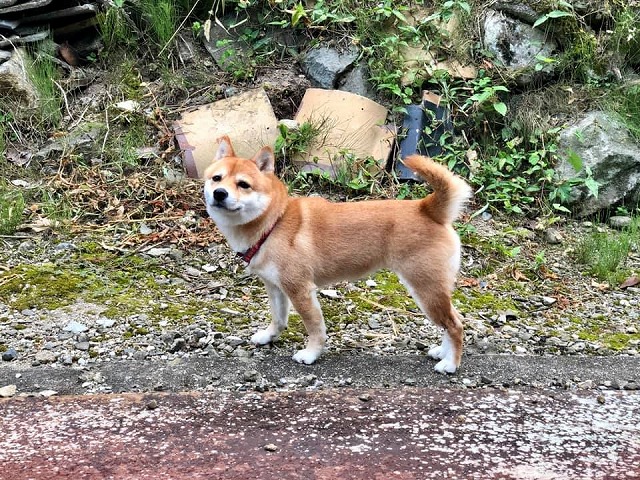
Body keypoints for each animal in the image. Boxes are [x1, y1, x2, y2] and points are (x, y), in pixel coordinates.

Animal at [203, 136, 472, 373]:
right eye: (217, 178)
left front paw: (311, 354)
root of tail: (427, 208)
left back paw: (451, 364)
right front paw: (269, 337)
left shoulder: (300, 290)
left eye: (243, 184)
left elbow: (315, 328)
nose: (219, 193)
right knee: (453, 320)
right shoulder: (275, 287)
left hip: (426, 291)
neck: (273, 222)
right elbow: (278, 319)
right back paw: (443, 352)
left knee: (455, 325)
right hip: (432, 291)